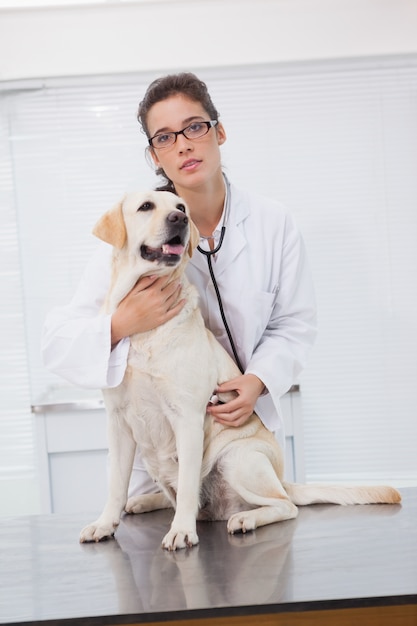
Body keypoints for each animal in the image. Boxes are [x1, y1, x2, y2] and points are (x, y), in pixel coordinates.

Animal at [79, 189, 402, 544]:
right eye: (146, 206)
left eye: (180, 207)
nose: (180, 219)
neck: (146, 332)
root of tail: (282, 480)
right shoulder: (118, 423)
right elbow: (115, 485)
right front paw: (104, 523)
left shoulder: (188, 418)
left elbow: (188, 485)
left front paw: (181, 532)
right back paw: (145, 501)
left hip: (238, 460)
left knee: (285, 505)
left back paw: (245, 518)